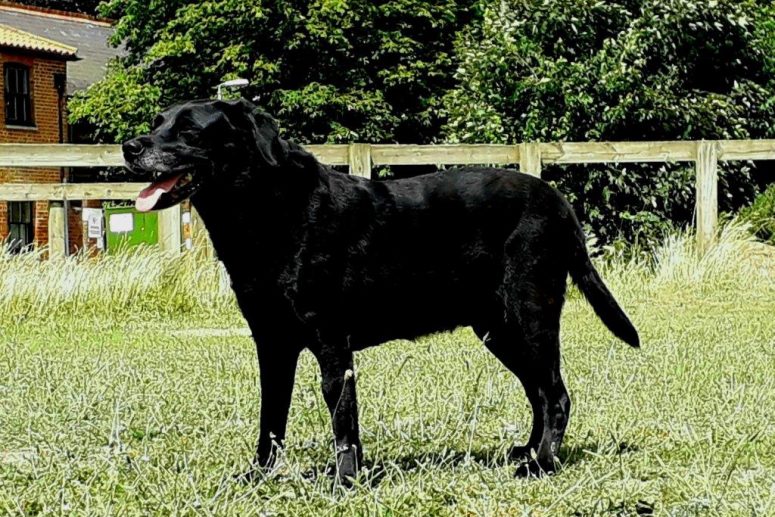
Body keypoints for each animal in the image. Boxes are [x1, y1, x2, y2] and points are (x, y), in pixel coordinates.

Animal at [123, 98, 639, 484]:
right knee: (538, 392)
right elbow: (271, 418)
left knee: (556, 394)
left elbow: (342, 415)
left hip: (529, 315)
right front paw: (257, 476)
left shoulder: (331, 340)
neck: (264, 211)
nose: (130, 146)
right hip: (498, 329)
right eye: (156, 124)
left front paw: (345, 480)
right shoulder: (272, 342)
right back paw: (526, 453)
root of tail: (560, 203)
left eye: (188, 129)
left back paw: (542, 465)